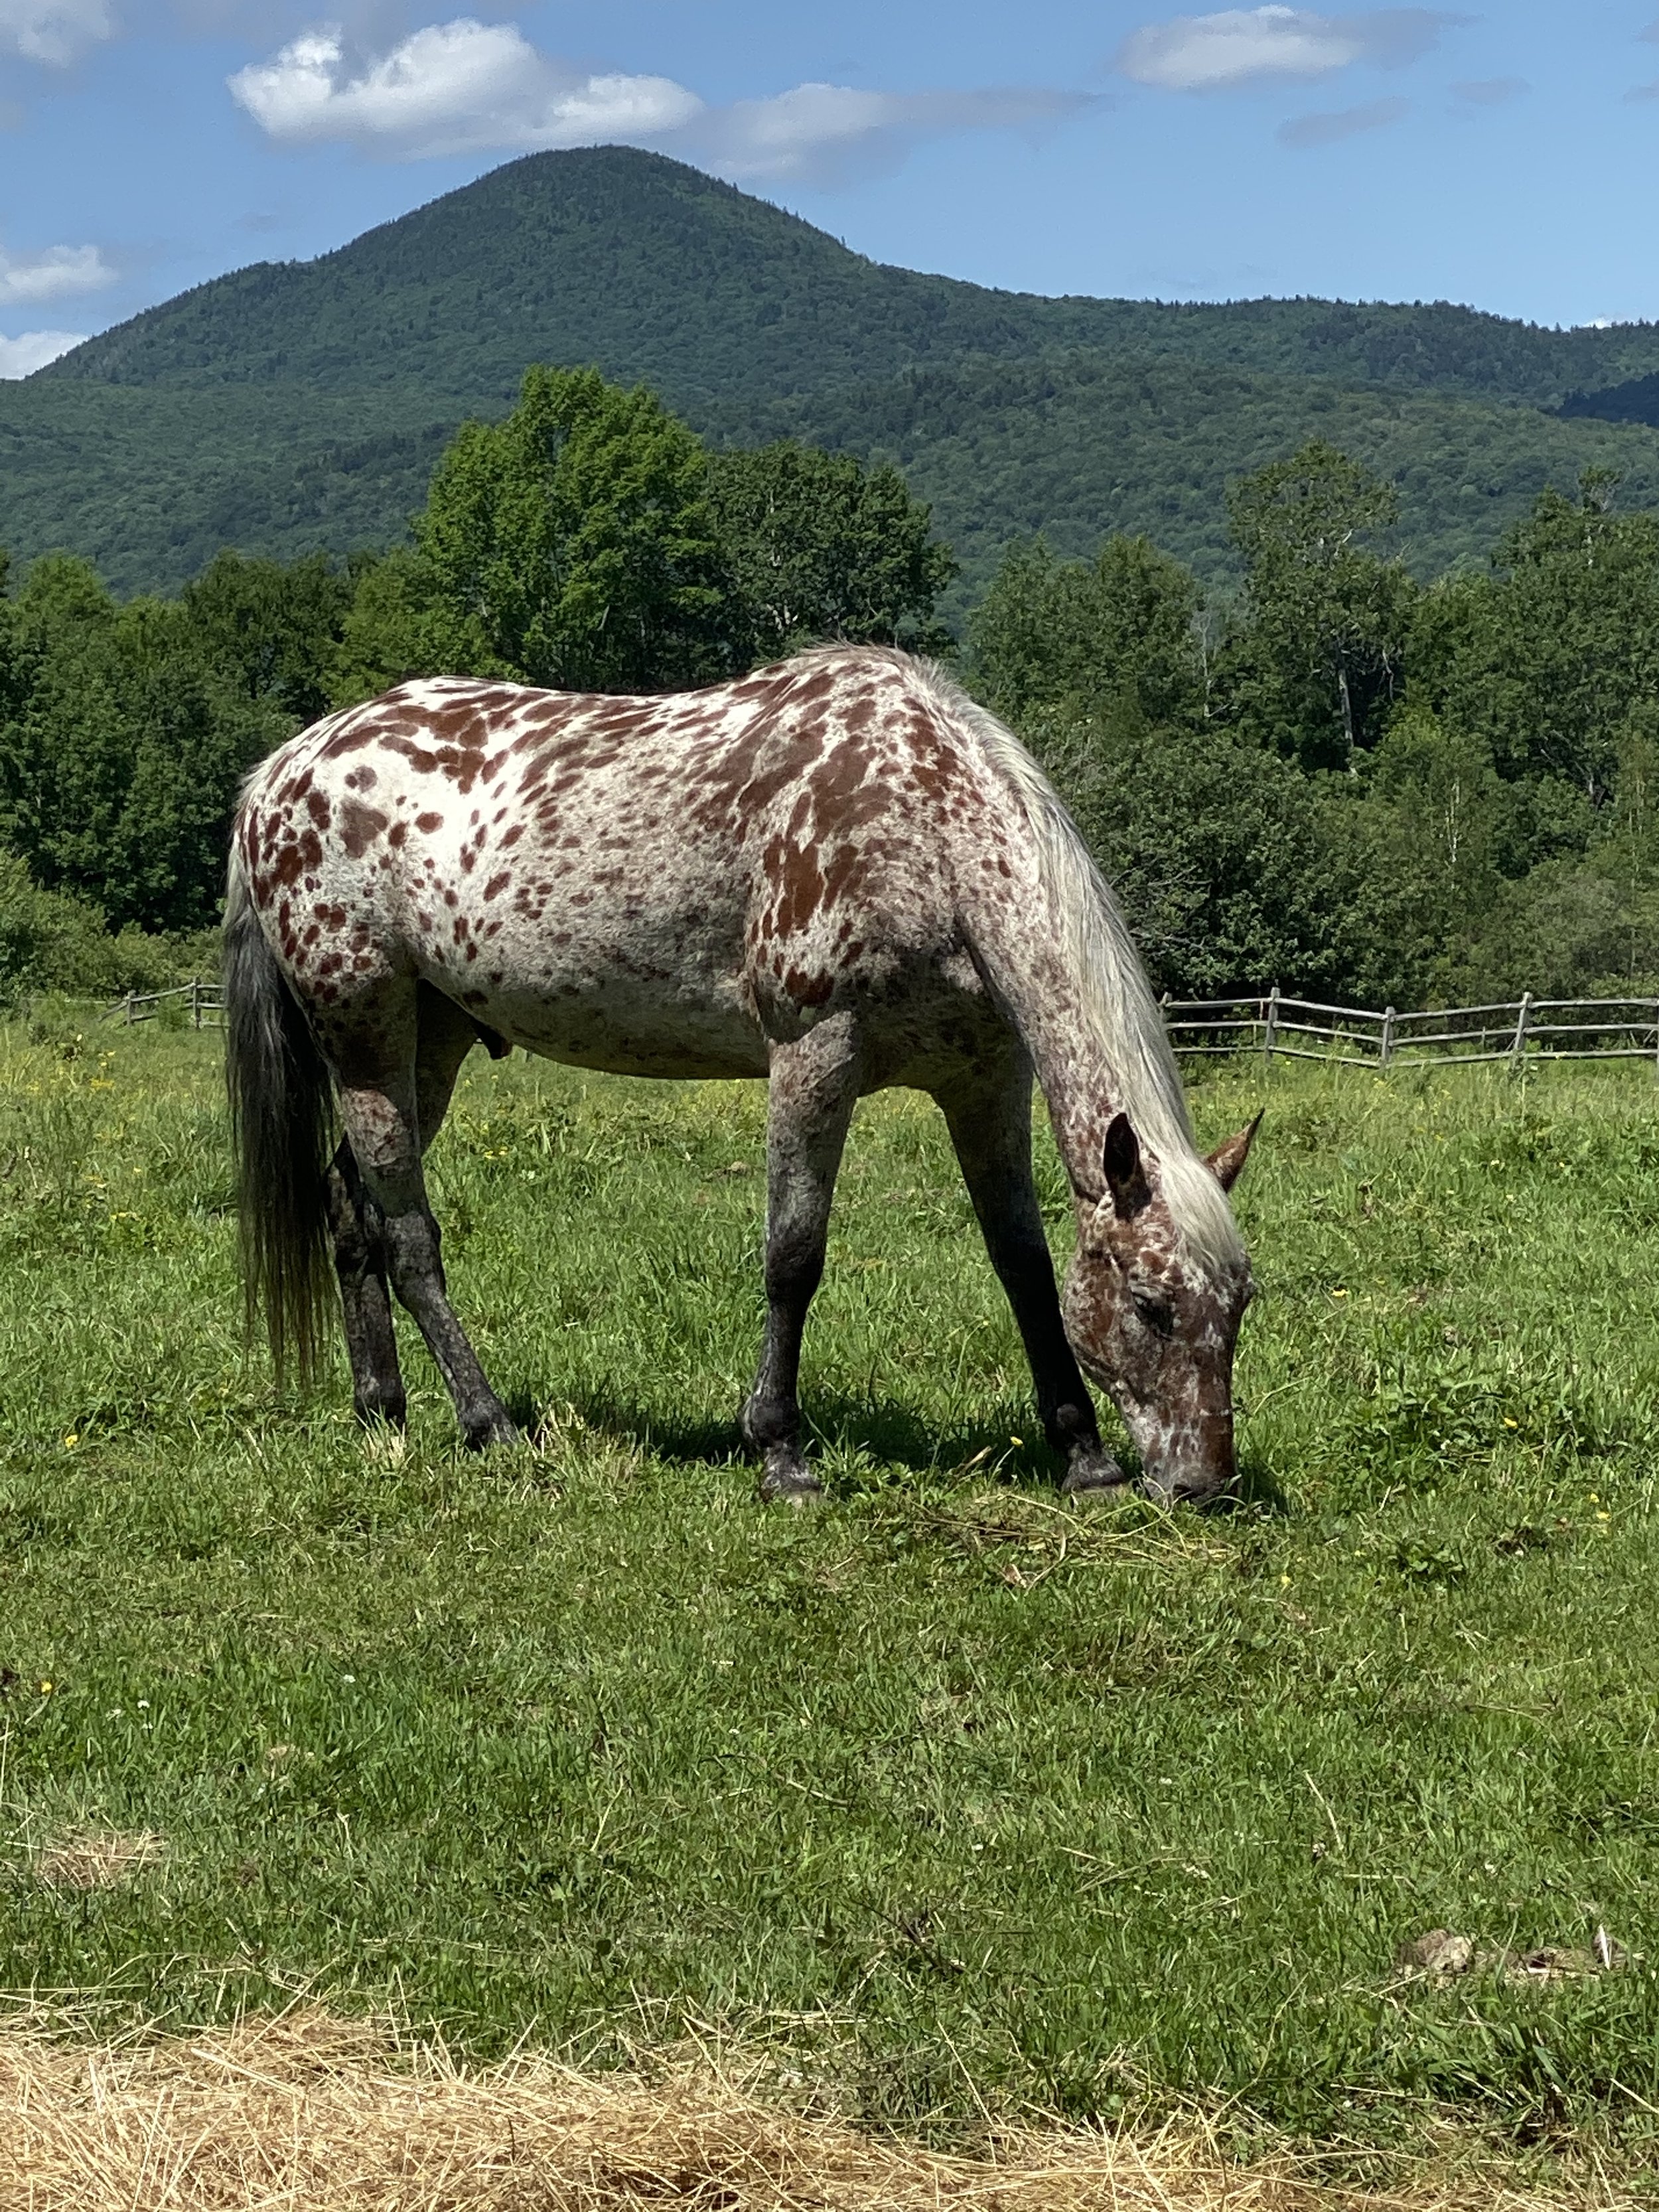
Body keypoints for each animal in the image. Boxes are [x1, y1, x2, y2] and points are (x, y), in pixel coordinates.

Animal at [223, 645, 1259, 1502]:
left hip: (425, 1043)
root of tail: (280, 772)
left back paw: (382, 1410)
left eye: (1239, 1305)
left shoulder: (984, 1082)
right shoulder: (814, 1056)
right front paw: (782, 1455)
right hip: (363, 1031)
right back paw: (490, 1425)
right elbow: (793, 1257)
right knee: (408, 1237)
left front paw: (1084, 1458)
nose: (1202, 1485)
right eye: (1152, 1307)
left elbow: (1023, 1262)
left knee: (349, 1208)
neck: (920, 828)